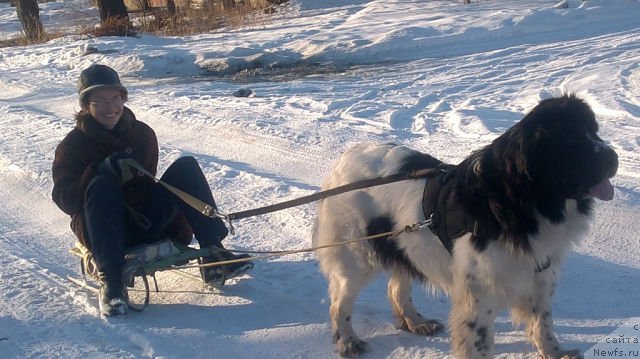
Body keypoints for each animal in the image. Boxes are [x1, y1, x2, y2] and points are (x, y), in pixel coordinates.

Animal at [312, 94, 616, 358]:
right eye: (569, 139)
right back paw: (348, 341)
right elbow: (480, 344)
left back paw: (416, 322)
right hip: (355, 256)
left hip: (406, 244)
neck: (520, 200)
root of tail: (344, 158)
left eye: (594, 131)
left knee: (397, 287)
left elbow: (543, 322)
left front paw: (555, 353)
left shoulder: (540, 274)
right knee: (340, 302)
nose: (613, 158)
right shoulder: (479, 294)